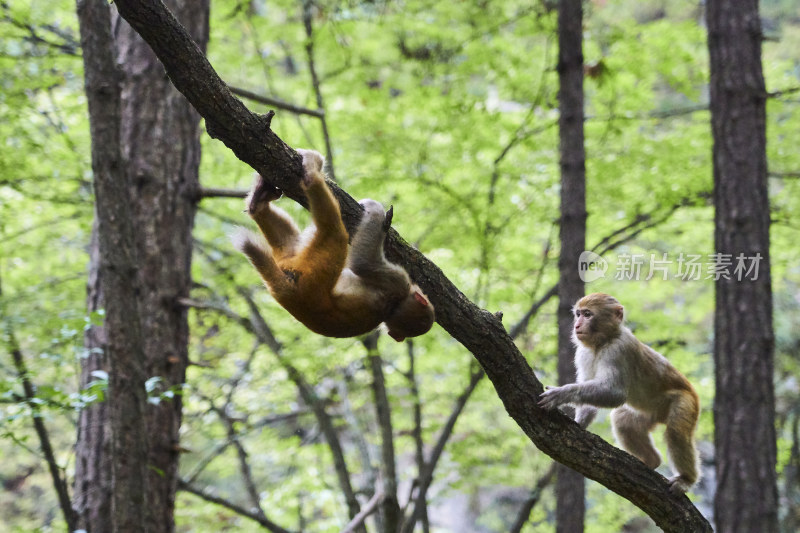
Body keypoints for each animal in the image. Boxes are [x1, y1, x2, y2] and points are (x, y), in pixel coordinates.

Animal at [234, 150, 434, 340]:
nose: (423, 293)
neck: (393, 308)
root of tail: (290, 292)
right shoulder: (400, 282)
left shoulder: (398, 281)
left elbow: (363, 264)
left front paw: (375, 211)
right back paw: (258, 201)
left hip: (312, 270)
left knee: (333, 229)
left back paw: (311, 175)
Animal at [536, 294, 700, 492]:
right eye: (578, 314)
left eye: (588, 314)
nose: (577, 325)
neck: (603, 342)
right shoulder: (583, 353)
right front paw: (580, 422)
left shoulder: (618, 349)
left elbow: (615, 393)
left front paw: (561, 394)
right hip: (652, 412)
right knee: (624, 420)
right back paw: (650, 461)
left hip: (686, 401)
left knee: (676, 432)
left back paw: (686, 479)